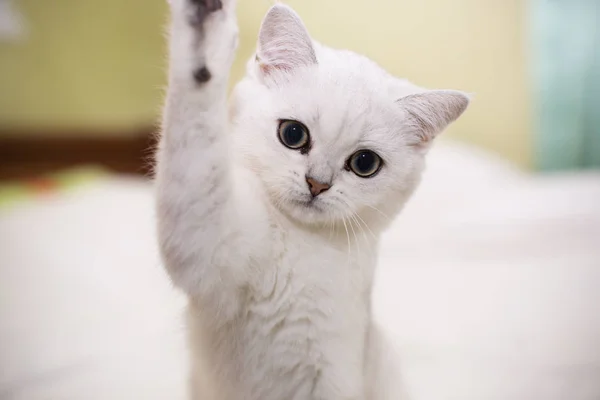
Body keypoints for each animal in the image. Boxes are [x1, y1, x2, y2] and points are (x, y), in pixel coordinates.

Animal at [155, 1, 468, 398]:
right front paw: (204, 32)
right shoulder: (208, 248)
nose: (317, 183)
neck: (303, 243)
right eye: (293, 134)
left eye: (365, 164)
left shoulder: (332, 375)